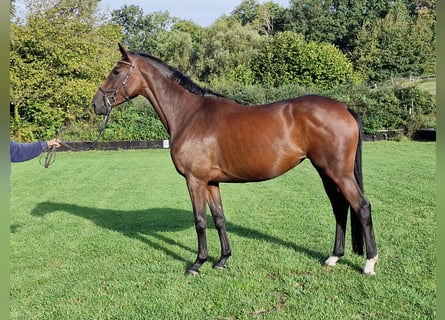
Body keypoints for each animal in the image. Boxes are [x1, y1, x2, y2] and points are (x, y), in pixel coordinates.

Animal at [92, 44, 376, 276]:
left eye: (116, 72)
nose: (96, 104)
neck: (190, 115)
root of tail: (344, 107)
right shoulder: (210, 182)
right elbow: (218, 218)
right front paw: (222, 260)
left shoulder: (195, 181)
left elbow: (200, 221)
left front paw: (197, 263)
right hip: (325, 171)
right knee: (340, 207)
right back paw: (334, 257)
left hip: (338, 172)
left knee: (361, 206)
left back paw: (369, 263)